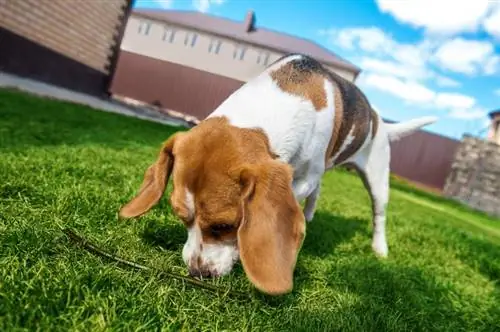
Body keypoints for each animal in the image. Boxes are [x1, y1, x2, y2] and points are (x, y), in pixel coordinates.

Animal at [118, 53, 438, 296]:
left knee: (378, 214)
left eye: (224, 226)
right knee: (318, 195)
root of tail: (378, 120)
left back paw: (378, 247)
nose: (198, 273)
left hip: (377, 178)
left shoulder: (303, 178)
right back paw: (309, 217)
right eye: (181, 217)